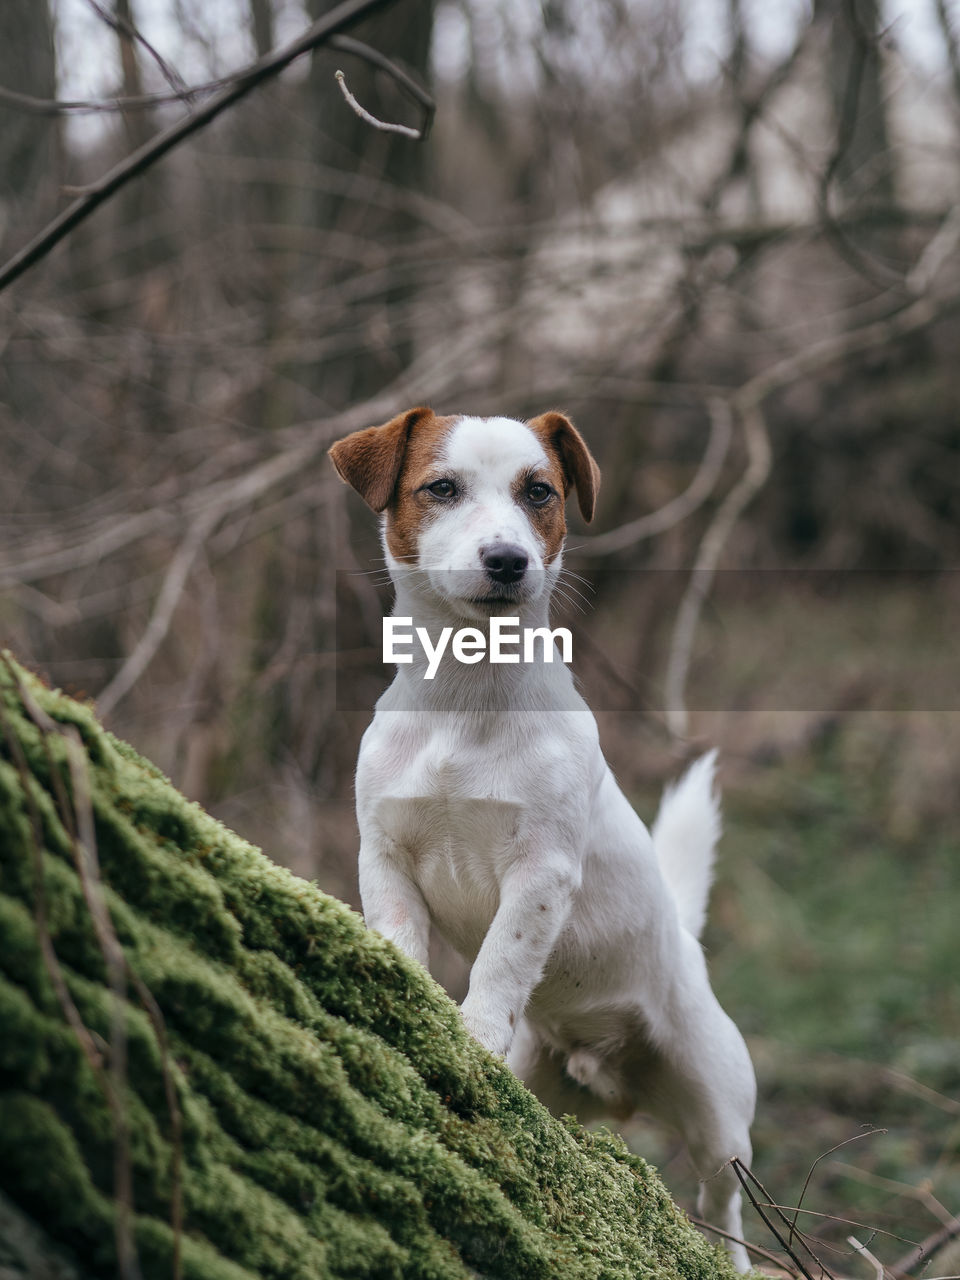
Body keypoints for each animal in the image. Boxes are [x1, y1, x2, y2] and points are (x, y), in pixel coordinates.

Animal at [330, 407, 757, 1269]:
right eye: (441, 488)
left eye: (540, 493)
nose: (507, 559)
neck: (463, 705)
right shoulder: (383, 855)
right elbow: (401, 935)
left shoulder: (541, 873)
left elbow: (499, 960)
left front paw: (473, 1030)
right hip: (546, 1075)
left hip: (719, 1110)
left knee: (722, 1202)